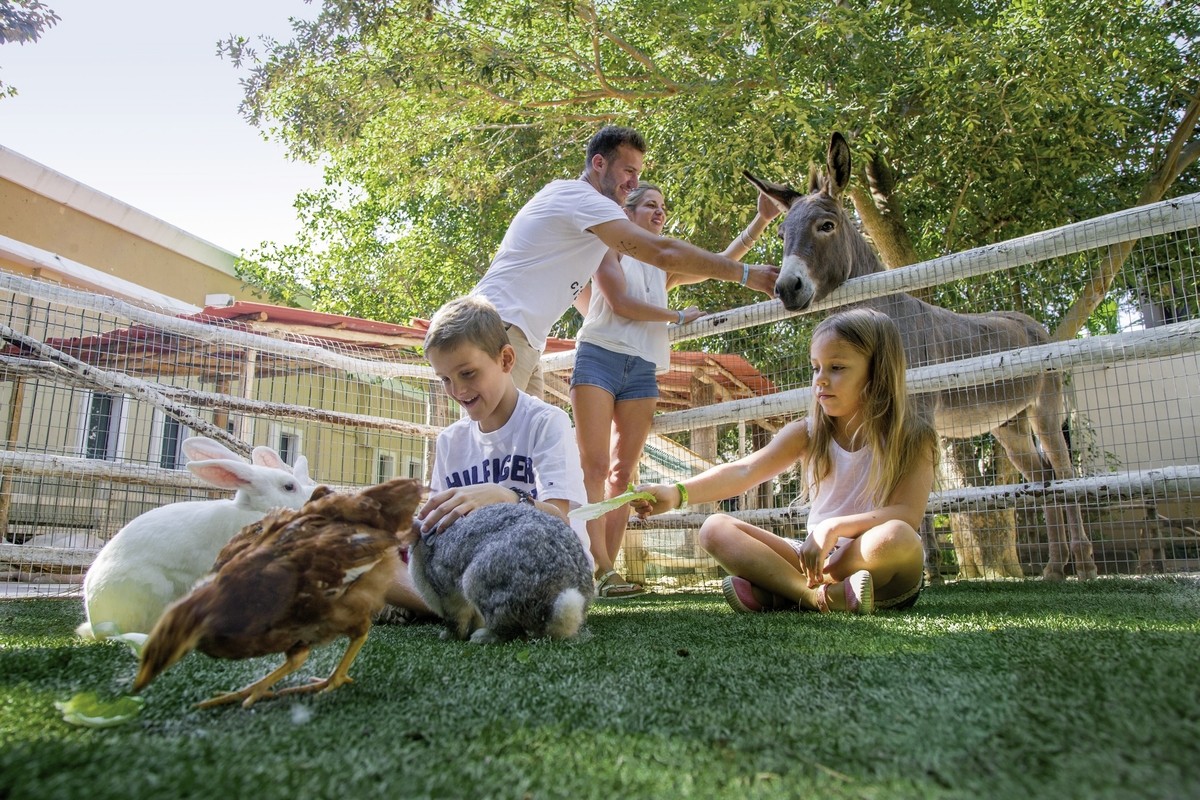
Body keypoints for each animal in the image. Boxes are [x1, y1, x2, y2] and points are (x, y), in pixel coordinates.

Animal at [403, 503, 590, 642]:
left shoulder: (447, 594)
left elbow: (456, 619)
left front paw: (449, 636)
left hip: (477, 582)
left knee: (512, 633)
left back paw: (482, 637)